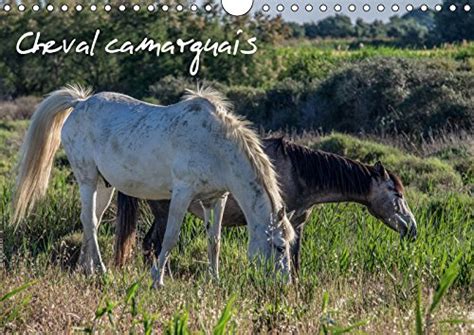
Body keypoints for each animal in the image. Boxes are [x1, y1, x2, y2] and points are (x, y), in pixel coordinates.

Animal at [12, 86, 294, 286]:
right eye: (280, 247)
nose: (286, 284)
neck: (215, 145)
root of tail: (80, 103)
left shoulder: (216, 198)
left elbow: (214, 241)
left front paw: (214, 280)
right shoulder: (182, 194)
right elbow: (170, 237)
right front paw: (157, 280)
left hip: (104, 186)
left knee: (90, 220)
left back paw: (86, 269)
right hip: (86, 179)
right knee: (90, 222)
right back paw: (102, 272)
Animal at [114, 138, 414, 272]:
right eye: (397, 195)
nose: (412, 229)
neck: (297, 171)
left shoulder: (297, 223)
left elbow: (295, 256)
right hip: (165, 210)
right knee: (153, 245)